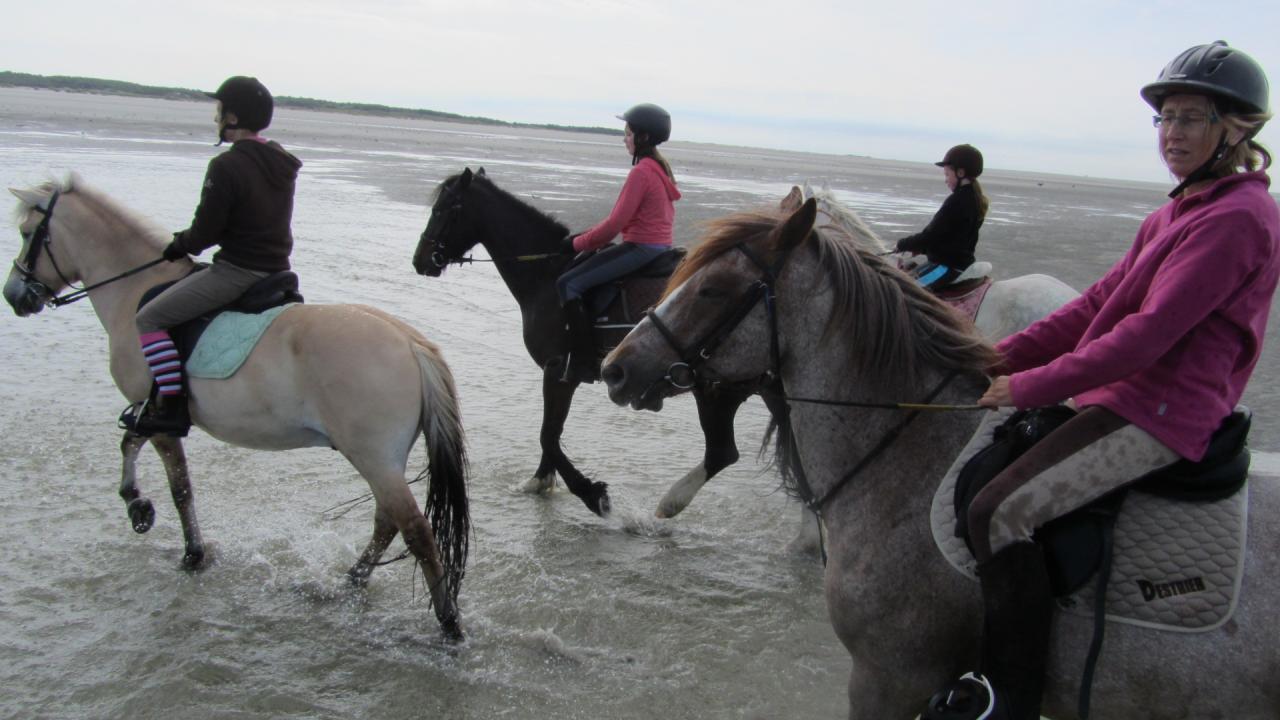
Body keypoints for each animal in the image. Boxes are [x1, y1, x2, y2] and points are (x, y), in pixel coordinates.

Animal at [2, 176, 473, 635]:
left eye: (27, 233)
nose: (14, 295)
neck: (133, 288)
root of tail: (411, 343)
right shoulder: (147, 410)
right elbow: (129, 444)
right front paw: (138, 506)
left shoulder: (159, 416)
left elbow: (179, 486)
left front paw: (190, 552)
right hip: (383, 459)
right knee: (387, 521)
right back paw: (351, 581)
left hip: (372, 455)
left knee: (415, 531)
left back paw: (448, 624)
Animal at [414, 169, 783, 520]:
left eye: (442, 209)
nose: (420, 260)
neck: (548, 272)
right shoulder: (561, 376)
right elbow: (551, 432)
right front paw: (541, 480)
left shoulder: (558, 371)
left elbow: (548, 434)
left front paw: (592, 495)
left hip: (714, 390)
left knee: (721, 452)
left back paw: (669, 504)